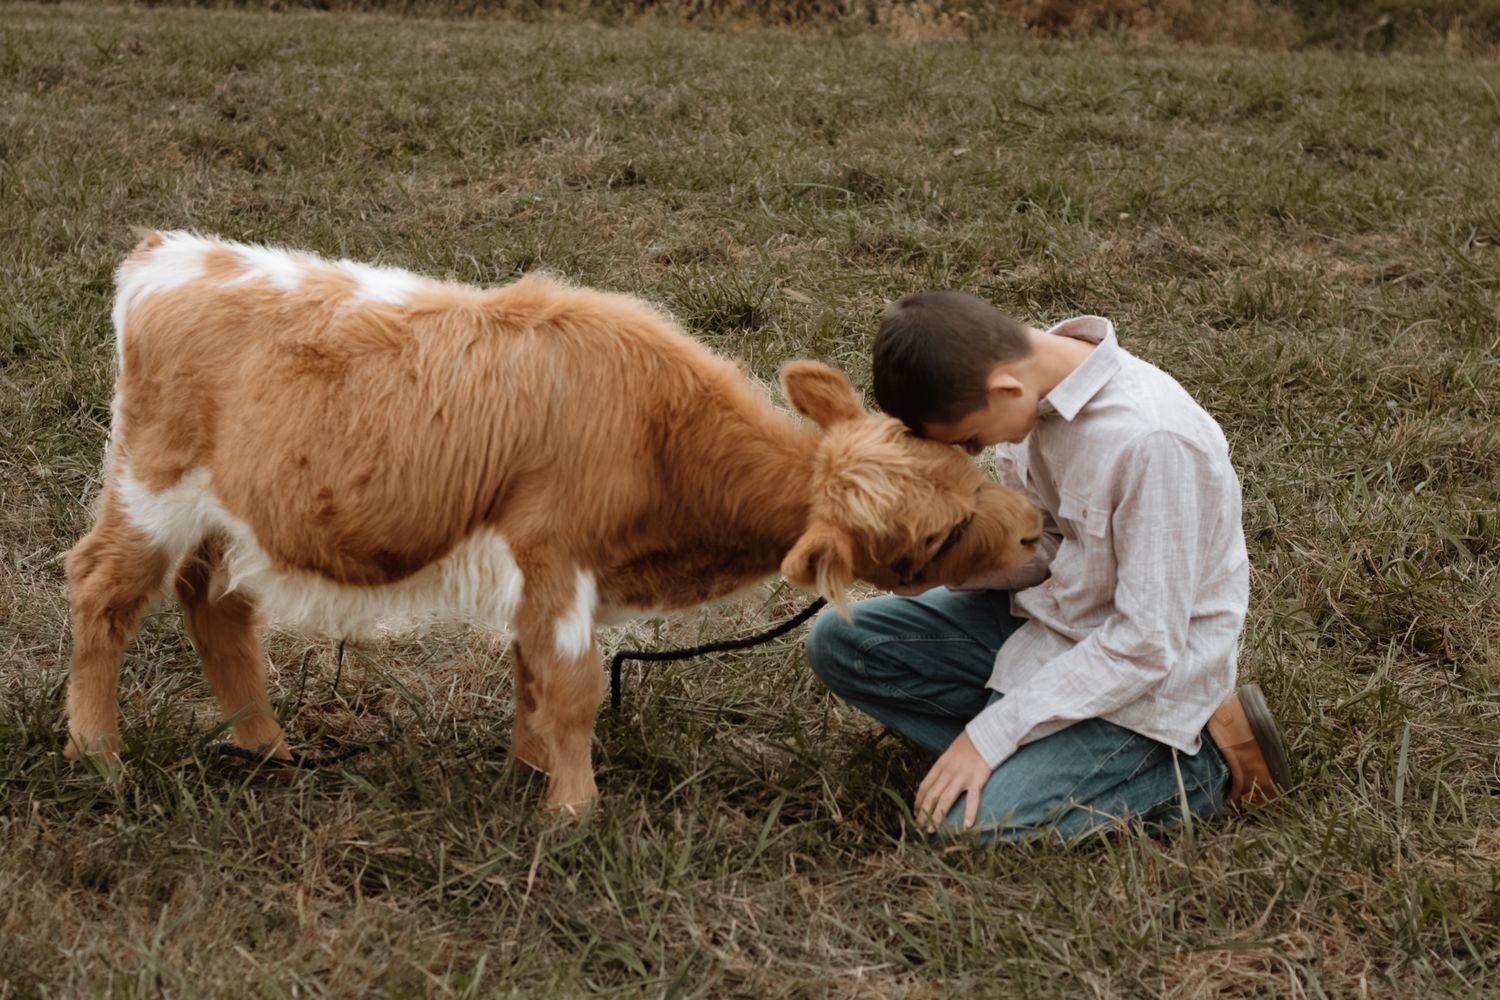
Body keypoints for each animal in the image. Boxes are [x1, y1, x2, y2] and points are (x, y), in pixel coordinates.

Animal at [64, 231, 1043, 815]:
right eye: (932, 540)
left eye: (964, 463)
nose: (1036, 528)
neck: (658, 434)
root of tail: (174, 252)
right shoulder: (555, 555)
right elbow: (569, 684)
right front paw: (574, 811)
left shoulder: (548, 574)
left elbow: (532, 673)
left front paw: (530, 770)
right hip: (150, 492)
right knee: (101, 595)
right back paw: (98, 756)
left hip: (225, 518)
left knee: (218, 608)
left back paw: (265, 747)